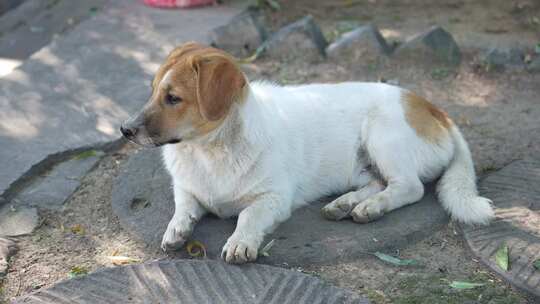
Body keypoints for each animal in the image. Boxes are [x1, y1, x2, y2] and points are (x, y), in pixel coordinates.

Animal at [121, 42, 494, 264]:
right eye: (152, 92)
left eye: (173, 98)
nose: (125, 129)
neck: (208, 150)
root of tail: (435, 109)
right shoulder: (186, 189)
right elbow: (184, 208)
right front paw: (176, 230)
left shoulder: (273, 198)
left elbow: (247, 216)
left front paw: (241, 241)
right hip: (360, 165)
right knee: (380, 182)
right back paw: (346, 204)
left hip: (383, 135)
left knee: (409, 187)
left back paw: (370, 208)